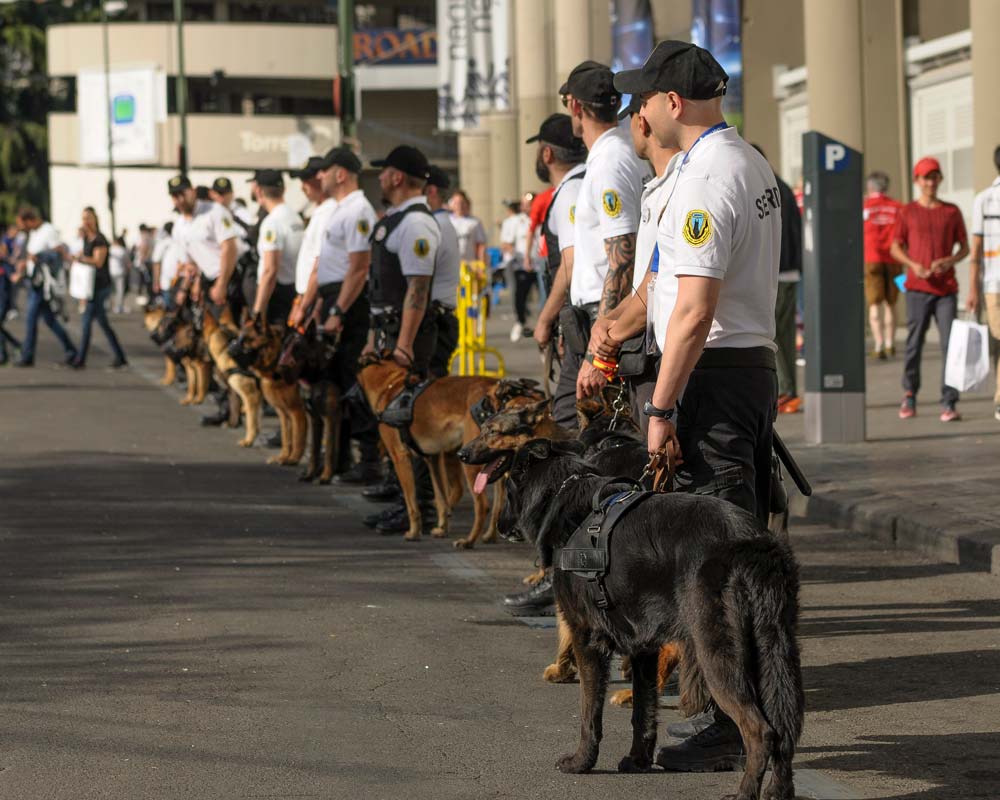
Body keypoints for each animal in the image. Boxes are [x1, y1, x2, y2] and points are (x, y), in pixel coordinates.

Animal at [201, 304, 264, 446]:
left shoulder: (251, 396)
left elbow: (249, 419)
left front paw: (248, 439)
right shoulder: (237, 391)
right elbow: (237, 408)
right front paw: (234, 424)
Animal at [229, 312, 306, 462]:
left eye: (247, 340)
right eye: (238, 338)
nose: (229, 351)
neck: (278, 355)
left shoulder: (296, 410)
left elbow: (297, 438)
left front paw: (292, 460)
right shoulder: (283, 411)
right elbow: (286, 437)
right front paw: (283, 457)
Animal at [280, 322, 342, 484]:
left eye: (297, 348)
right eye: (285, 346)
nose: (282, 367)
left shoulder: (330, 419)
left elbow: (329, 449)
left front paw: (326, 476)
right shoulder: (316, 420)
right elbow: (314, 450)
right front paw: (310, 474)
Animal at [356, 354, 504, 548]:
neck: (391, 386)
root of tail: (492, 390)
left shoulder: (400, 457)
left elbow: (411, 503)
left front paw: (413, 532)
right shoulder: (433, 459)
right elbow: (441, 499)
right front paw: (442, 528)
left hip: (470, 464)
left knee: (483, 505)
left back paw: (469, 541)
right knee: (498, 504)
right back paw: (490, 535)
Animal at [470, 440, 804, 796]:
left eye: (507, 486)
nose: (500, 526)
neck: (564, 494)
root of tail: (754, 543)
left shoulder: (586, 639)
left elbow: (589, 712)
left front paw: (581, 762)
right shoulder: (644, 649)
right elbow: (643, 711)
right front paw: (638, 760)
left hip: (717, 654)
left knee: (760, 730)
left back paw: (745, 792)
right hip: (775, 653)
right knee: (784, 728)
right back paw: (778, 790)